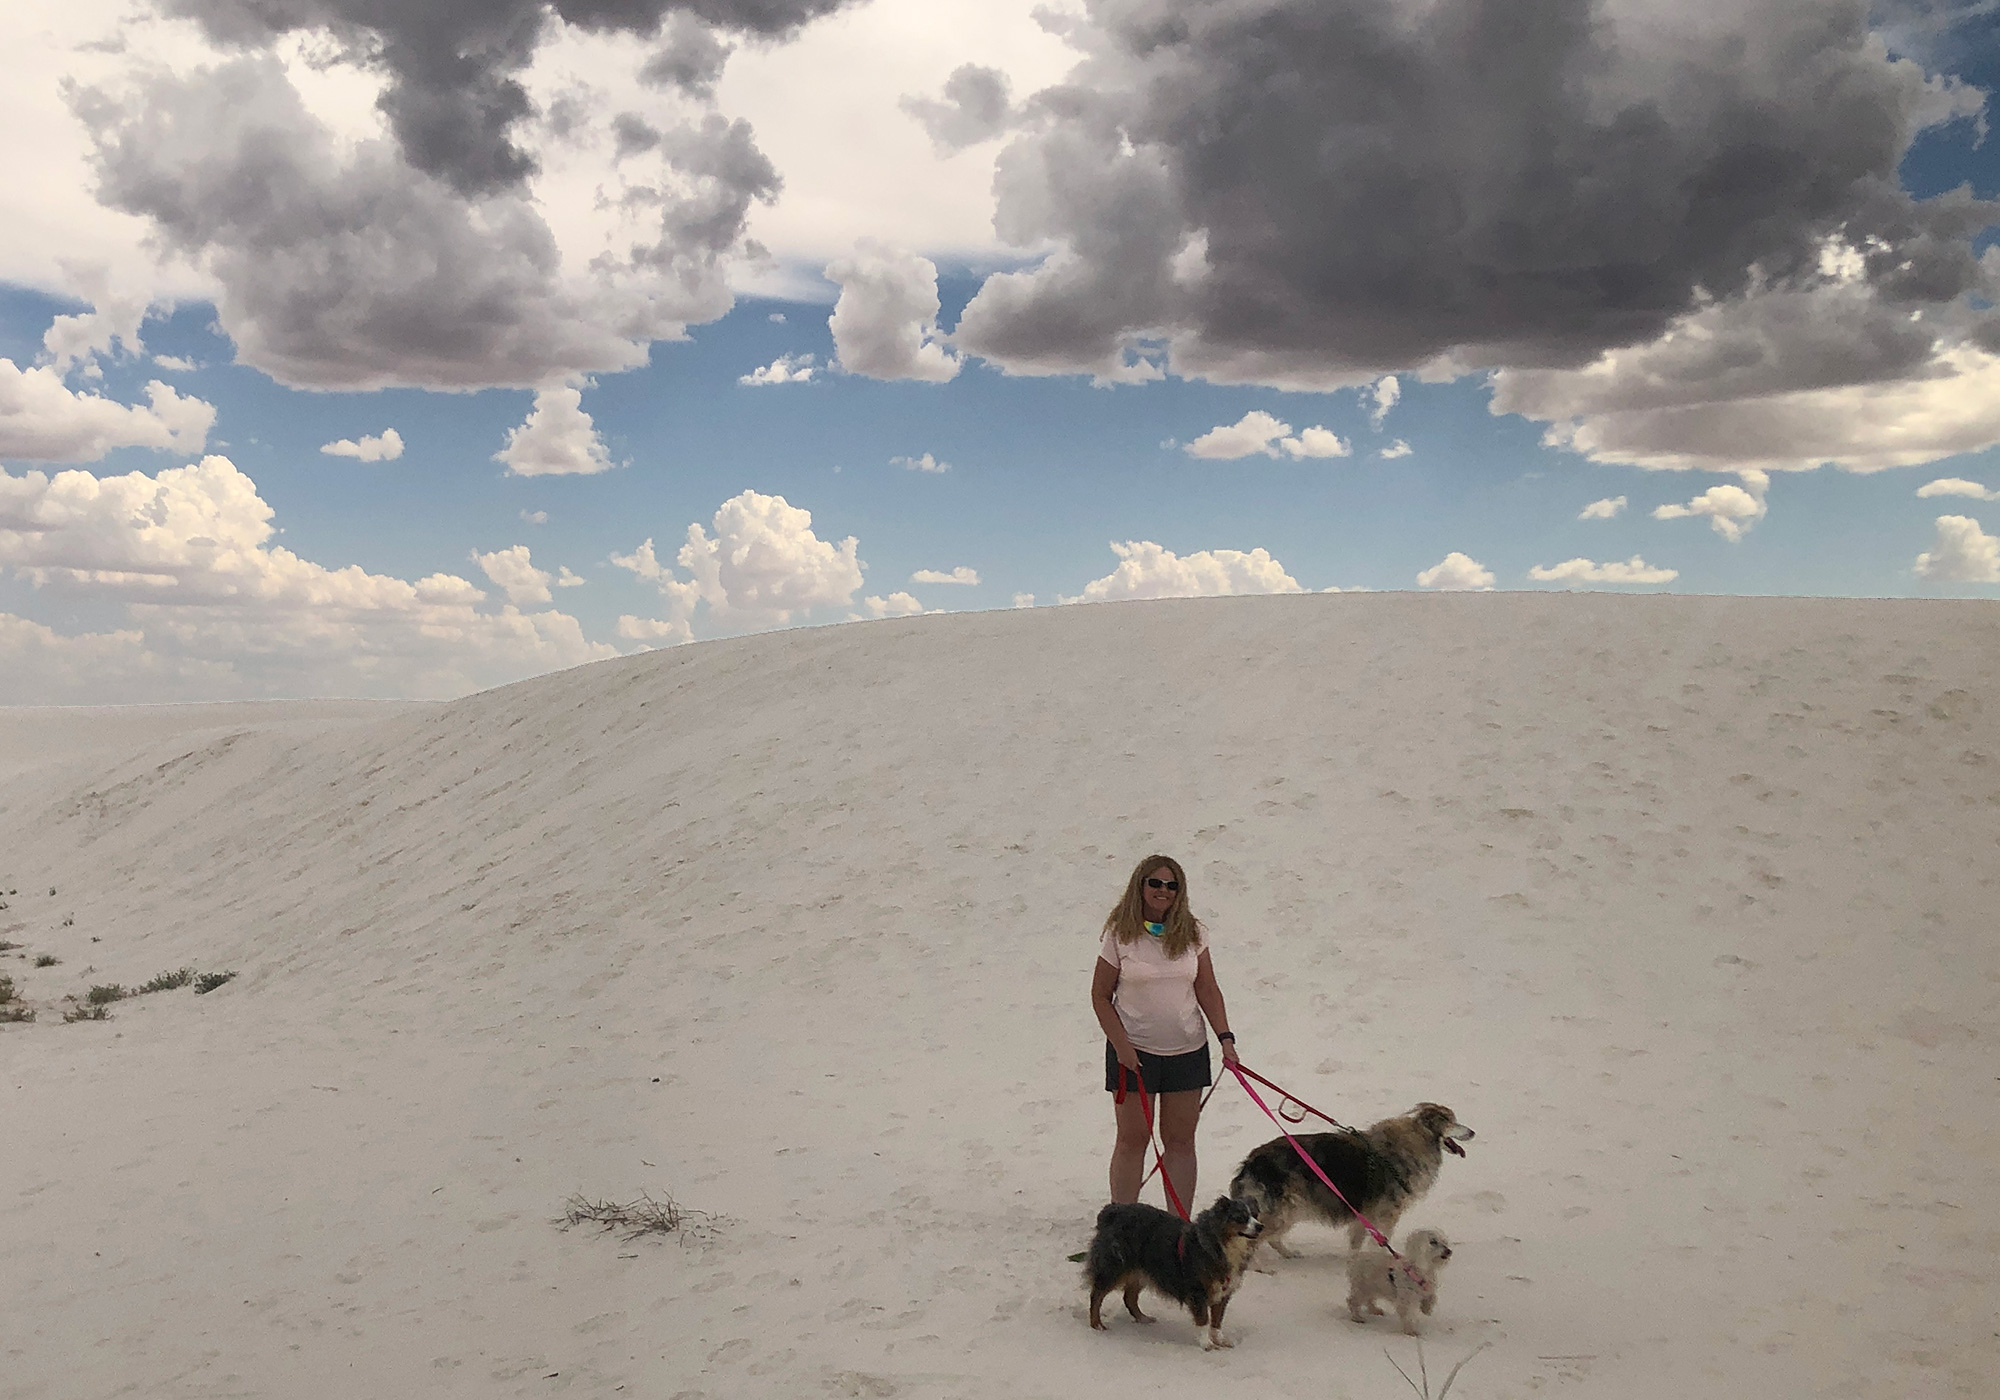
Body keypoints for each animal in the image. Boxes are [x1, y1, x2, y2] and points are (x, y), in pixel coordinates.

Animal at [1088, 1192, 1256, 1344]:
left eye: (1255, 1215)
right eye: (1241, 1216)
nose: (1260, 1227)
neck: (1223, 1244)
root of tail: (1111, 1212)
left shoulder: (1223, 1290)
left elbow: (1217, 1319)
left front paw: (1219, 1338)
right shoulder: (1198, 1290)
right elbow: (1203, 1319)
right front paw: (1206, 1343)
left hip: (1140, 1271)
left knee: (1129, 1297)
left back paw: (1142, 1318)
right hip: (1115, 1265)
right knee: (1097, 1294)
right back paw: (1096, 1323)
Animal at [1232, 1104, 1472, 1256]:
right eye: (1450, 1121)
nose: (1472, 1132)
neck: (1419, 1138)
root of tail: (1251, 1162)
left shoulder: (1365, 1212)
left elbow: (1358, 1242)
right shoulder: (1387, 1212)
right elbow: (1380, 1241)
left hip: (1289, 1210)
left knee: (1270, 1238)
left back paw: (1288, 1253)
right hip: (1283, 1211)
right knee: (1253, 1240)